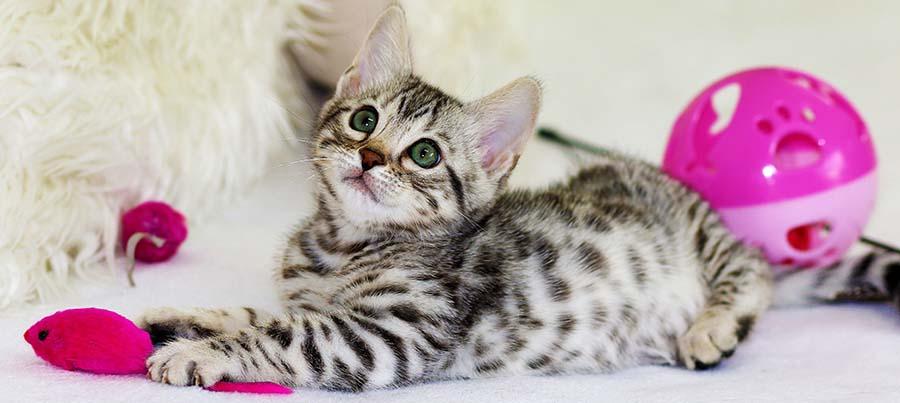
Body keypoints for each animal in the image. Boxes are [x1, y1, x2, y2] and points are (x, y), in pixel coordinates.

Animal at [139, 5, 900, 392]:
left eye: (425, 154)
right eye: (363, 119)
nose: (371, 156)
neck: (339, 244)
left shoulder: (388, 334)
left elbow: (283, 335)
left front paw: (201, 353)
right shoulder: (318, 301)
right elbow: (258, 311)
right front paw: (185, 316)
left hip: (707, 237)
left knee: (753, 269)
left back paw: (712, 325)